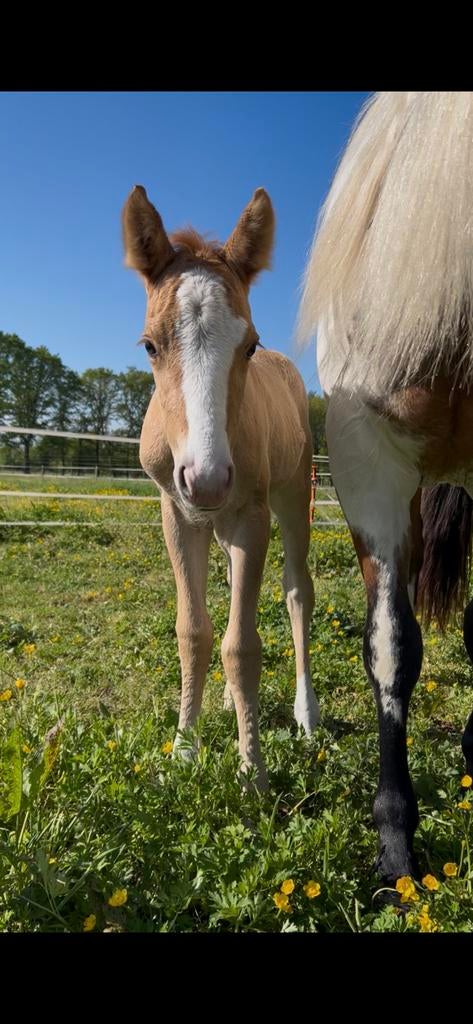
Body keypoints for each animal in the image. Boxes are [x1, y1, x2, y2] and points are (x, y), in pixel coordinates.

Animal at [122, 184, 319, 789]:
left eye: (249, 345)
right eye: (150, 346)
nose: (206, 480)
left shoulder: (251, 516)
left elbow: (243, 646)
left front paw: (252, 770)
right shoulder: (176, 514)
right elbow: (194, 633)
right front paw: (185, 750)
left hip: (291, 498)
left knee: (297, 592)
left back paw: (307, 714)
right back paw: (233, 706)